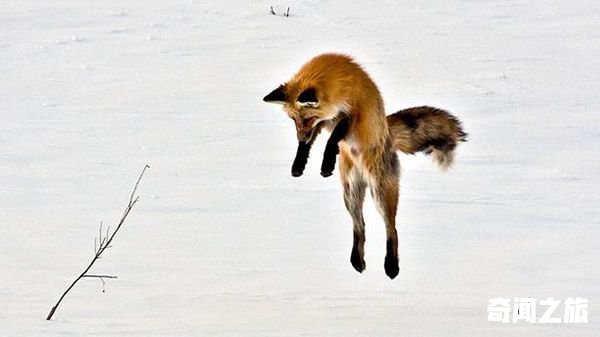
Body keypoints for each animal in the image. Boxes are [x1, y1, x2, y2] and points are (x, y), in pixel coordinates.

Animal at [262, 53, 464, 278]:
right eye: (293, 119)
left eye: (307, 118)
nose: (300, 137)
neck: (335, 80)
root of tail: (388, 135)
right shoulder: (325, 121)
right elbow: (309, 145)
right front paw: (299, 164)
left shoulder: (351, 113)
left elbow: (333, 139)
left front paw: (327, 162)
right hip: (350, 193)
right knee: (360, 227)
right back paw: (357, 261)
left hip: (380, 191)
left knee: (391, 228)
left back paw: (391, 265)